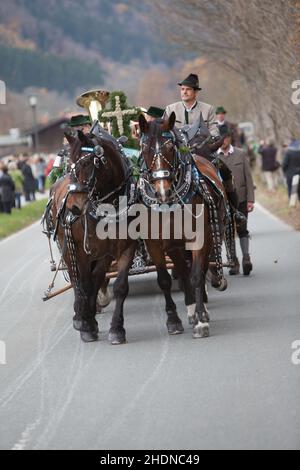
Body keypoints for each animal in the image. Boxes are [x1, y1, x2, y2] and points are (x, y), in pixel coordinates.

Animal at [47, 130, 138, 344]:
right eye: (70, 164)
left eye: (88, 163)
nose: (73, 206)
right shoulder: (81, 250)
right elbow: (84, 282)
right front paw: (86, 325)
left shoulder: (124, 248)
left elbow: (119, 286)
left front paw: (116, 329)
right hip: (67, 246)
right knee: (76, 279)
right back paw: (81, 315)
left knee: (96, 278)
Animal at [138, 113, 227, 338]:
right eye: (145, 148)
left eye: (171, 147)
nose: (163, 191)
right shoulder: (156, 243)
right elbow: (164, 280)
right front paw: (173, 321)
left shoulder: (199, 238)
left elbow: (196, 275)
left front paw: (202, 321)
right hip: (175, 246)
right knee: (182, 271)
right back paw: (190, 309)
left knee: (199, 271)